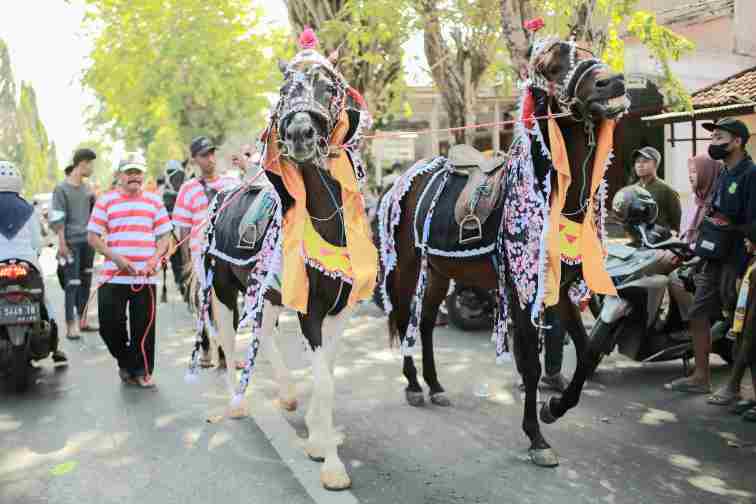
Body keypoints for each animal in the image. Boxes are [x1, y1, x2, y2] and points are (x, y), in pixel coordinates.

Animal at [378, 40, 632, 468]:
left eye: (589, 51)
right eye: (552, 64)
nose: (612, 81)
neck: (553, 196)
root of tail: (403, 178)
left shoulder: (560, 289)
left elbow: (586, 353)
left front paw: (554, 407)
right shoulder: (520, 291)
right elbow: (530, 365)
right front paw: (537, 437)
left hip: (441, 271)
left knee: (427, 323)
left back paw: (435, 385)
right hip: (408, 266)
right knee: (403, 317)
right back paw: (413, 384)